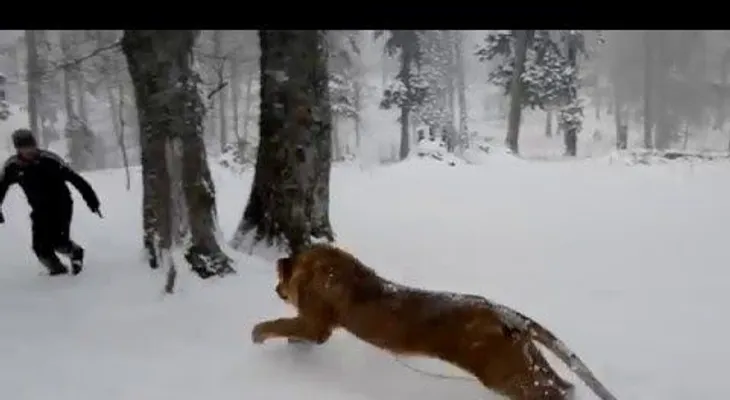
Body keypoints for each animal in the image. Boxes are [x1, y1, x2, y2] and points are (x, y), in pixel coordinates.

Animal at [251, 244, 617, 400]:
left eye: (280, 279)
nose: (276, 287)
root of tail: (504, 312)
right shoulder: (313, 325)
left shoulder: (316, 324)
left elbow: (276, 324)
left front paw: (258, 334)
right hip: (525, 360)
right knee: (564, 386)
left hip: (504, 374)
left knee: (550, 392)